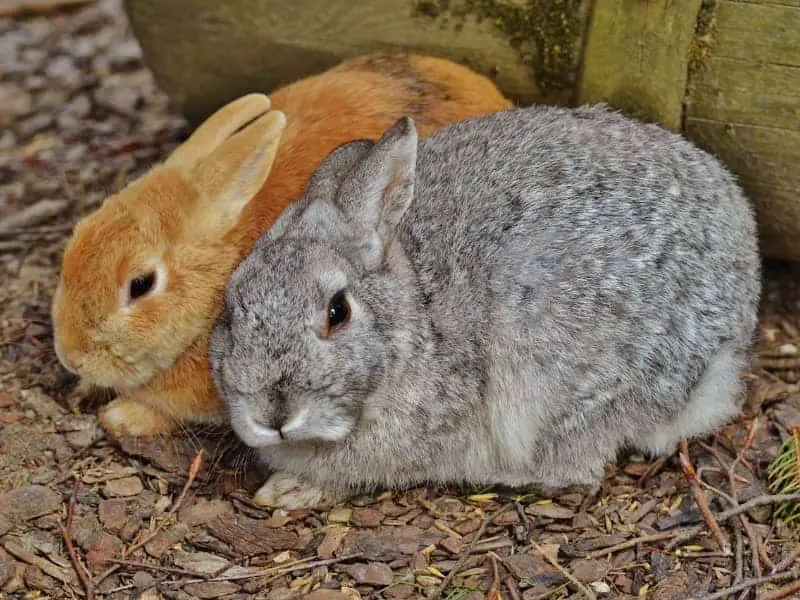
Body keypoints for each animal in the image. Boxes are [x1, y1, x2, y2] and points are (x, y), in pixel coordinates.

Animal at [209, 105, 760, 508]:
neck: (418, 315)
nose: (273, 414)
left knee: (575, 467)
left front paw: (291, 491)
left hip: (564, 383)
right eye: (230, 311)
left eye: (337, 311)